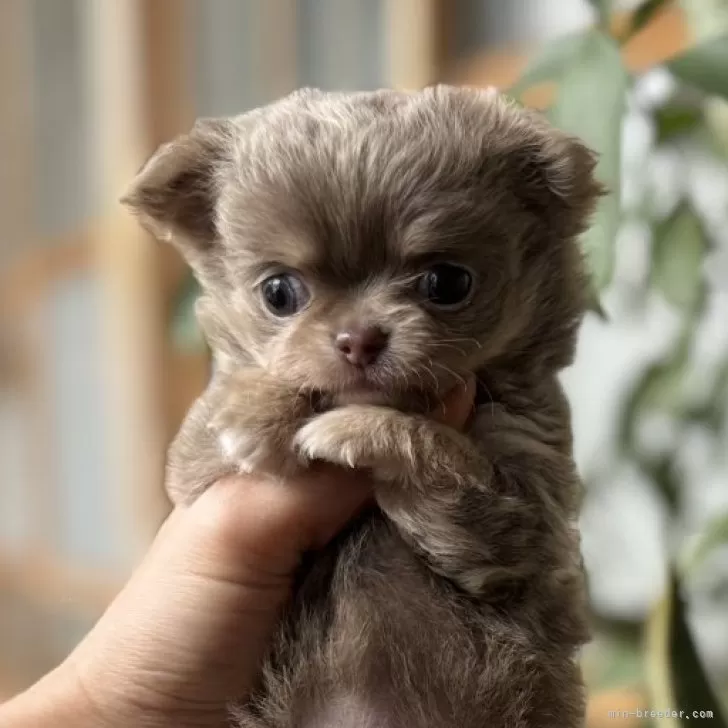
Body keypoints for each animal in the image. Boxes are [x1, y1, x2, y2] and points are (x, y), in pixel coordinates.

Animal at [123, 86, 604, 728]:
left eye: (447, 282)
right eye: (278, 293)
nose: (359, 338)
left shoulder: (521, 517)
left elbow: (443, 455)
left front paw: (361, 428)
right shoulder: (191, 473)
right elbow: (225, 416)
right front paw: (261, 411)